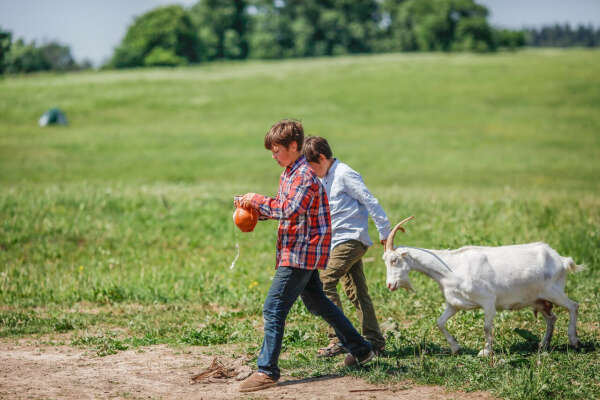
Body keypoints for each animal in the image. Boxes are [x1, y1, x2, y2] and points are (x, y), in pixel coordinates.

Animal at [384, 216, 580, 356]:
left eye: (394, 260)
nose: (390, 285)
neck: (451, 267)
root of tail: (561, 260)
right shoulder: (455, 304)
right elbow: (440, 322)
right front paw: (456, 348)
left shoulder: (488, 300)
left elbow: (486, 327)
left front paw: (485, 351)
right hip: (539, 300)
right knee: (551, 318)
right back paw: (544, 345)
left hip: (553, 291)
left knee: (573, 306)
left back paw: (574, 340)